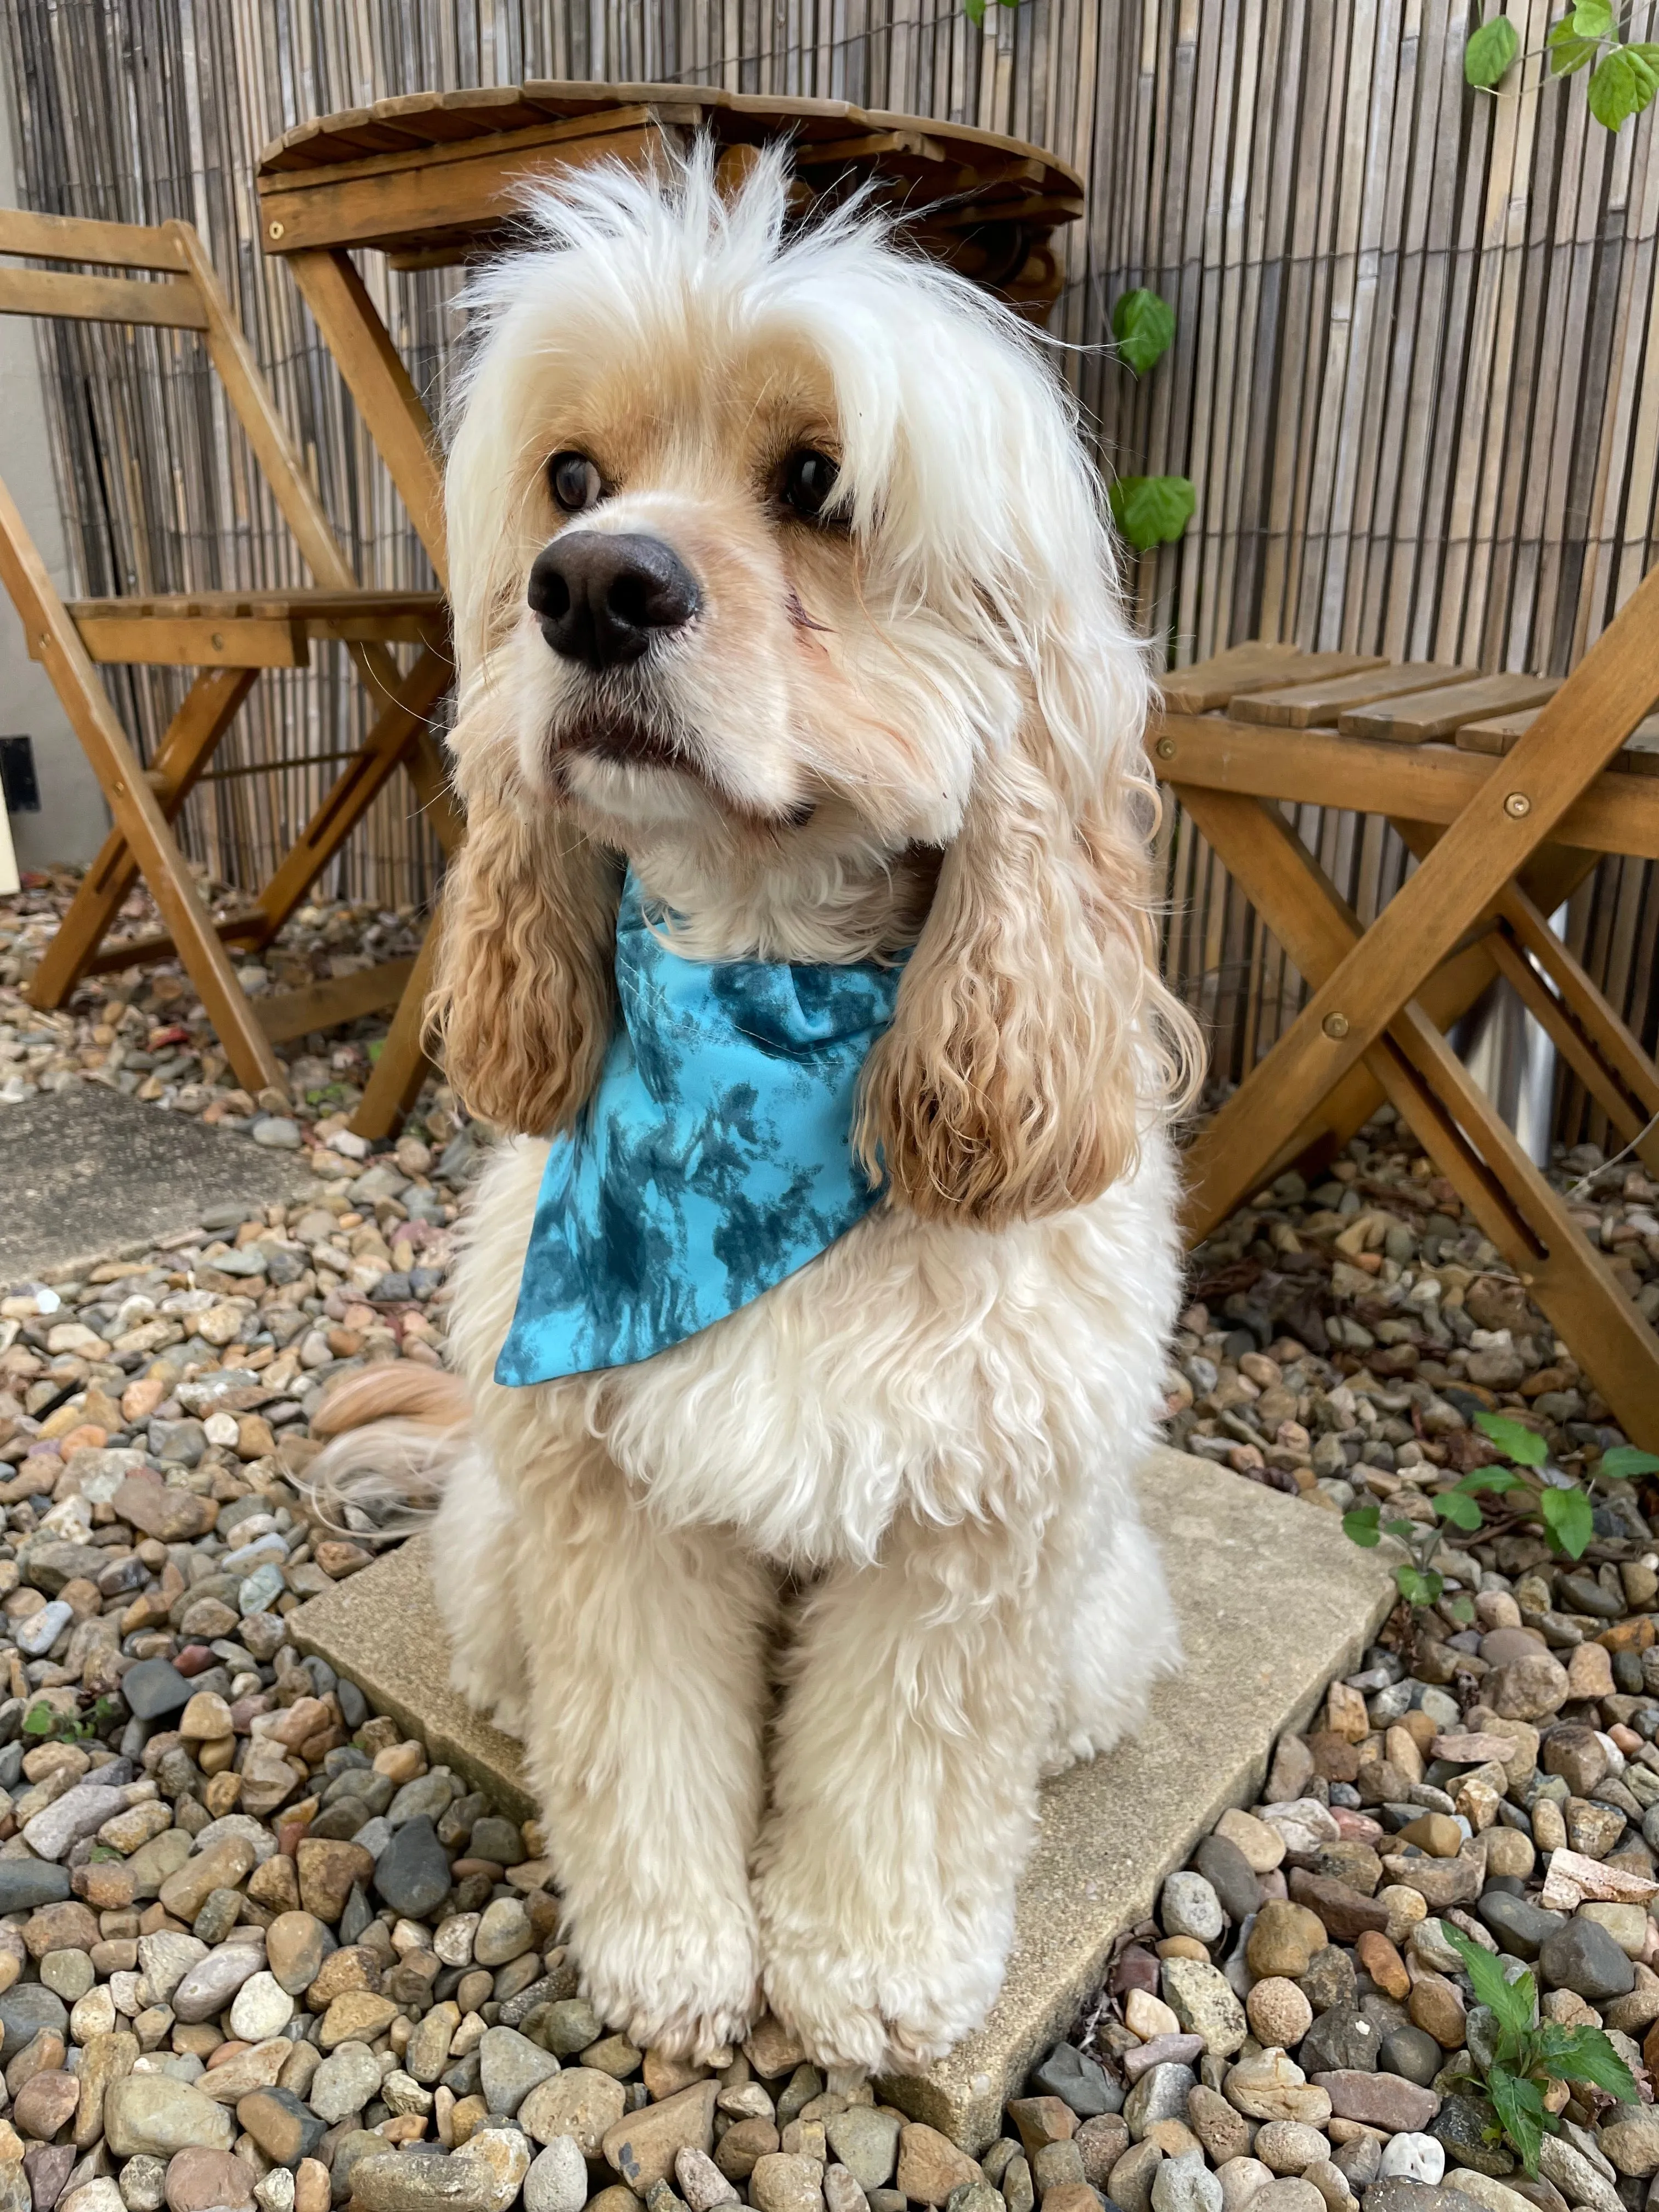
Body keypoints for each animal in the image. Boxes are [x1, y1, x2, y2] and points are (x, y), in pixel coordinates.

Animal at [318, 138, 1203, 2070]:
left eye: (815, 484)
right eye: (573, 479)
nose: (589, 586)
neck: (757, 999)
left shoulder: (965, 1523)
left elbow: (909, 1779)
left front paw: (869, 1975)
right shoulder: (607, 1495)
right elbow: (640, 1741)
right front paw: (671, 1958)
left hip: (1102, 1586)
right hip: (497, 1525)